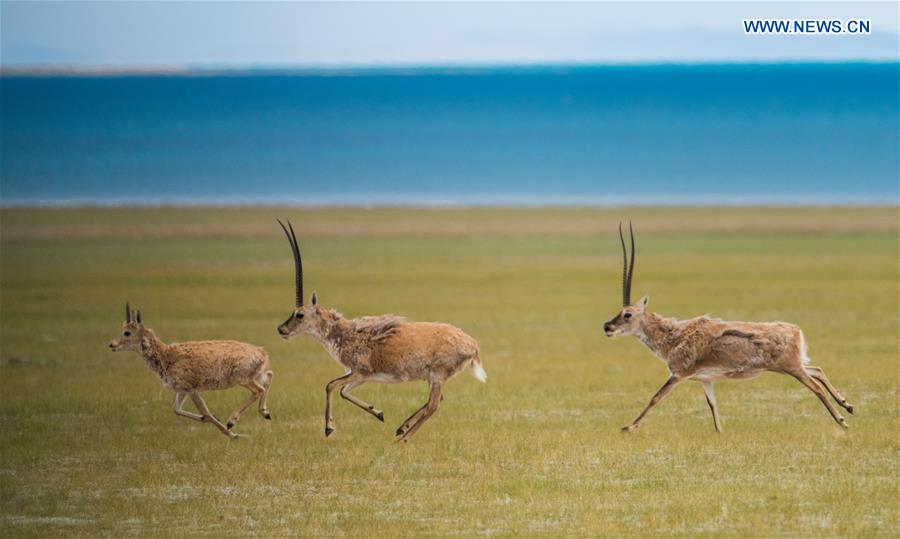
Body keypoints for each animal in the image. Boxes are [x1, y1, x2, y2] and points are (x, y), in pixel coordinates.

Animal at [108, 304, 272, 438]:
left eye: (127, 332)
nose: (111, 345)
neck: (165, 356)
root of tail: (262, 353)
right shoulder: (182, 390)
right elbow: (177, 410)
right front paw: (211, 419)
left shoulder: (191, 389)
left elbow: (204, 411)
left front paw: (232, 435)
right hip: (254, 376)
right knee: (269, 377)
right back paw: (265, 413)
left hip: (242, 379)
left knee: (258, 390)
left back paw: (232, 421)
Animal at [274, 219, 486, 442]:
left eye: (299, 314)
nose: (281, 329)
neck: (347, 333)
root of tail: (471, 344)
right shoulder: (361, 376)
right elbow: (343, 391)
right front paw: (379, 413)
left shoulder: (360, 372)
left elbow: (331, 385)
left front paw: (328, 428)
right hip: (432, 378)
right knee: (436, 401)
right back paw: (401, 428)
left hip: (437, 375)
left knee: (433, 405)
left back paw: (403, 439)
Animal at [604, 224, 852, 434]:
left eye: (627, 314)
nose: (607, 327)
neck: (675, 335)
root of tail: (796, 330)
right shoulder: (705, 380)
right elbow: (712, 404)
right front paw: (720, 431)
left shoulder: (678, 374)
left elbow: (655, 397)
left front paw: (628, 427)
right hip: (787, 367)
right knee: (817, 370)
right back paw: (847, 405)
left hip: (791, 368)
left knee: (816, 386)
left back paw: (842, 420)